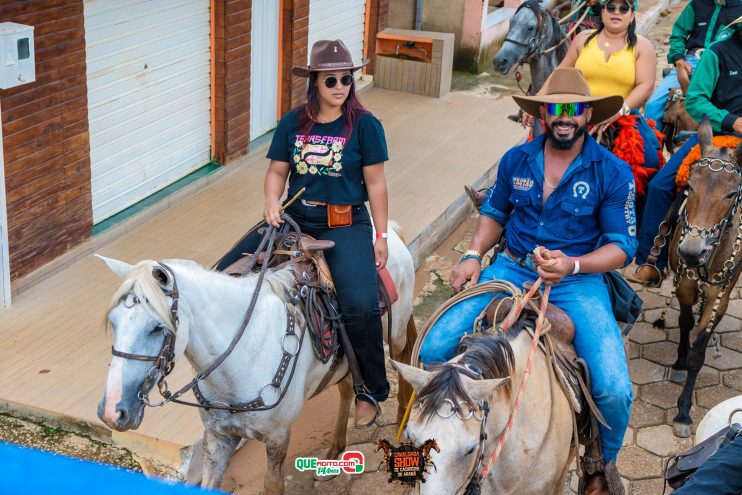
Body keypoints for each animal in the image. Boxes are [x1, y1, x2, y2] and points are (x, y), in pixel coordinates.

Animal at [97, 225, 418, 495]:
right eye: (113, 322)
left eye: (157, 327)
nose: (112, 411)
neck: (238, 360)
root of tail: (388, 229)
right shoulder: (218, 437)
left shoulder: (277, 436)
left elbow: (273, 485)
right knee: (346, 387)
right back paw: (334, 452)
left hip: (395, 329)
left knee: (402, 358)